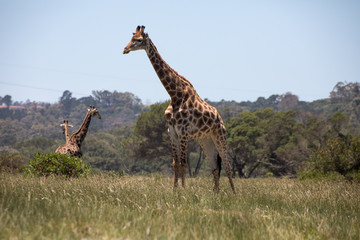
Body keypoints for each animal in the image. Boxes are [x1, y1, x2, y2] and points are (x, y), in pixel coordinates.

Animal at [124, 25, 236, 193]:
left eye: (138, 40)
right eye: (131, 38)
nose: (125, 49)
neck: (174, 94)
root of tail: (220, 118)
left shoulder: (183, 131)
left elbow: (183, 163)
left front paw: (184, 191)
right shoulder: (172, 131)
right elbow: (175, 164)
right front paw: (174, 190)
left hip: (219, 135)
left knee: (227, 164)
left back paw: (234, 194)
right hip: (205, 139)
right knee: (215, 167)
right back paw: (216, 194)